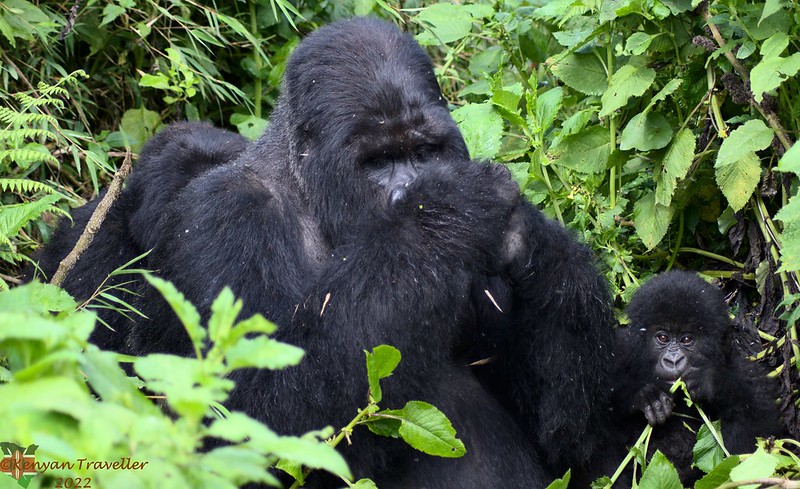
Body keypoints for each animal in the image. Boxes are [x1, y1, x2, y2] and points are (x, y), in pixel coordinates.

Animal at [34, 17, 616, 486]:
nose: (407, 193)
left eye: (426, 151)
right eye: (378, 161)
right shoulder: (223, 215)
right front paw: (447, 211)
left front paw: (532, 241)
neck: (313, 197)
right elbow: (256, 417)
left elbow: (567, 435)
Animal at [612, 270, 780, 484]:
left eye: (686, 339)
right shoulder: (620, 348)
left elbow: (763, 431)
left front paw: (710, 384)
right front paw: (645, 396)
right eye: (663, 337)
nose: (673, 361)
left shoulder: (748, 373)